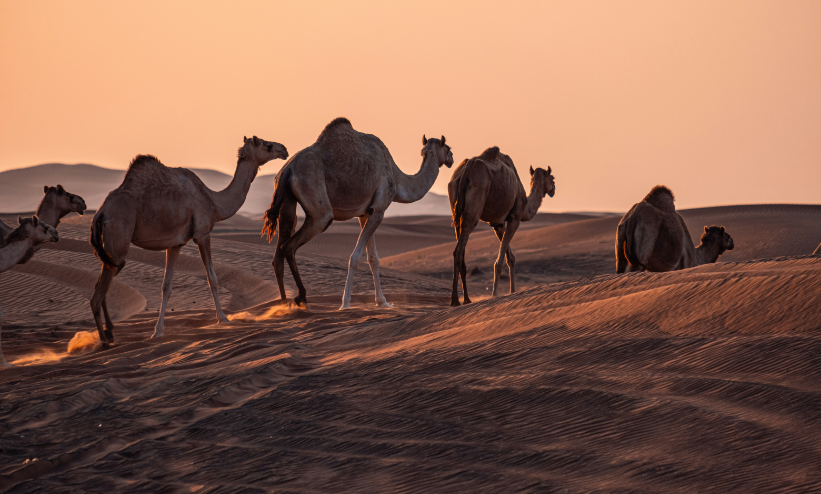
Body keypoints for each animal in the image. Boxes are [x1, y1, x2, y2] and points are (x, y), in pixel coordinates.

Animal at [89, 136, 287, 348]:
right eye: (267, 145)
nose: (284, 149)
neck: (214, 202)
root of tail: (100, 213)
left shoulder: (175, 244)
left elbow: (166, 286)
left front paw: (158, 331)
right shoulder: (202, 234)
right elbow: (212, 278)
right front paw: (223, 318)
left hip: (109, 254)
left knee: (101, 289)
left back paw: (110, 333)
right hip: (117, 244)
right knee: (97, 296)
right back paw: (104, 341)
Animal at [262, 117, 453, 309]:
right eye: (448, 147)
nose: (451, 159)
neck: (397, 177)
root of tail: (287, 169)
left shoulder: (365, 213)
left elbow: (373, 258)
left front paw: (383, 301)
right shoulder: (379, 210)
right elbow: (355, 257)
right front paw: (345, 303)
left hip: (287, 200)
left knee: (279, 251)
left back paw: (283, 304)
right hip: (317, 205)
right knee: (290, 245)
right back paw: (301, 296)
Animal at [448, 147, 555, 306]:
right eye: (552, 178)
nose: (553, 189)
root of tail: (467, 168)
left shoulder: (497, 224)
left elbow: (510, 257)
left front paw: (512, 291)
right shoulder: (515, 218)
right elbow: (500, 261)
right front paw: (495, 294)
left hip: (455, 207)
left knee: (459, 247)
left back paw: (466, 299)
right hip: (475, 202)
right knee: (459, 250)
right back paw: (456, 299)